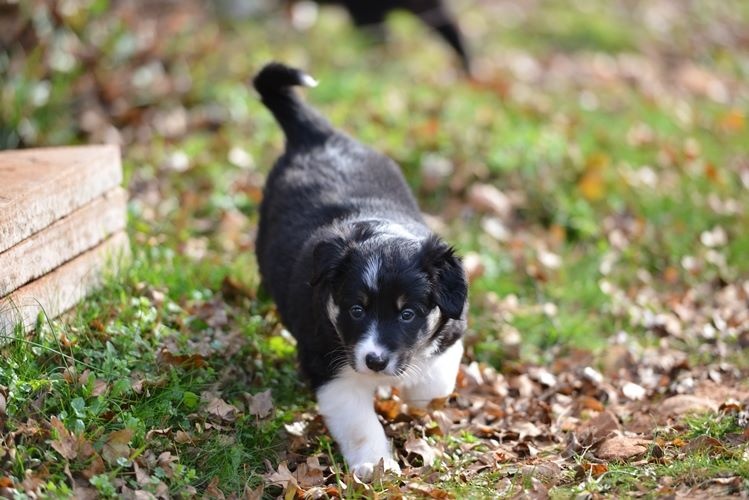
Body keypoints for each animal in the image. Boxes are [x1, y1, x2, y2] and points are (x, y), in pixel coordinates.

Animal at [256, 62, 468, 480]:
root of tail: (318, 137)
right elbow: (359, 423)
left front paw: (418, 403)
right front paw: (375, 466)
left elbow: (433, 381)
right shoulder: (328, 365)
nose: (375, 361)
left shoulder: (452, 327)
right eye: (356, 310)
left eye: (407, 314)